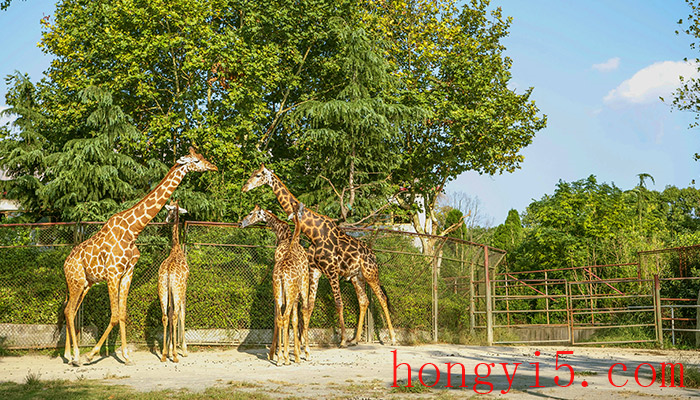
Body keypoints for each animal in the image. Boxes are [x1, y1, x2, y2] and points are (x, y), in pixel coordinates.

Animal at [63, 147, 216, 366]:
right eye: (196, 160)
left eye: (202, 157)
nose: (214, 166)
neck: (133, 230)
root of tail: (65, 263)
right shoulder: (113, 274)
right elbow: (114, 315)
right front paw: (91, 353)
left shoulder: (127, 273)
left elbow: (122, 314)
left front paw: (126, 356)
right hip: (75, 281)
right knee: (69, 311)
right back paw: (76, 356)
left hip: (84, 283)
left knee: (71, 310)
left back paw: (68, 355)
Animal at [241, 205, 312, 364]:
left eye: (251, 213)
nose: (240, 223)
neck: (286, 238)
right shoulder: (302, 285)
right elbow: (296, 317)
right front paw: (297, 352)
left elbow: (286, 318)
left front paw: (281, 352)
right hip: (293, 290)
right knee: (292, 316)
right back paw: (289, 355)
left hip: (281, 291)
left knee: (281, 317)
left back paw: (281, 356)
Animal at [242, 164, 396, 346]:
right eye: (253, 173)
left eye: (258, 175)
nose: (244, 188)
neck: (313, 233)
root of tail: (373, 254)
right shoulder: (315, 270)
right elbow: (309, 305)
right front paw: (303, 340)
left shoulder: (331, 270)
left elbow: (338, 303)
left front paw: (342, 340)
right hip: (356, 276)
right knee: (364, 301)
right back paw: (356, 339)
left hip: (370, 273)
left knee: (382, 297)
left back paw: (392, 338)